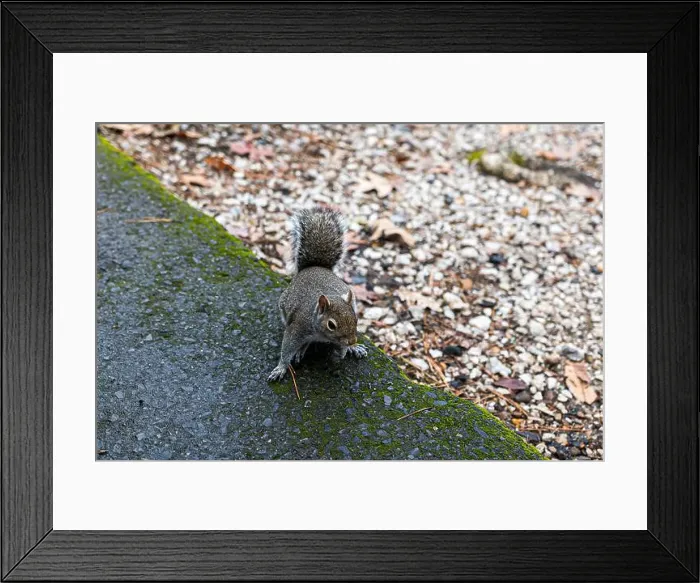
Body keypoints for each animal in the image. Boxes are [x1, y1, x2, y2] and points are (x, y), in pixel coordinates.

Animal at [267, 206, 368, 382]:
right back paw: (302, 350)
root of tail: (314, 267)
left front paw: (347, 349)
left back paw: (354, 348)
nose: (351, 341)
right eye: (331, 325)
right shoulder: (297, 328)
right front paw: (280, 368)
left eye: (356, 319)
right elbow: (287, 349)